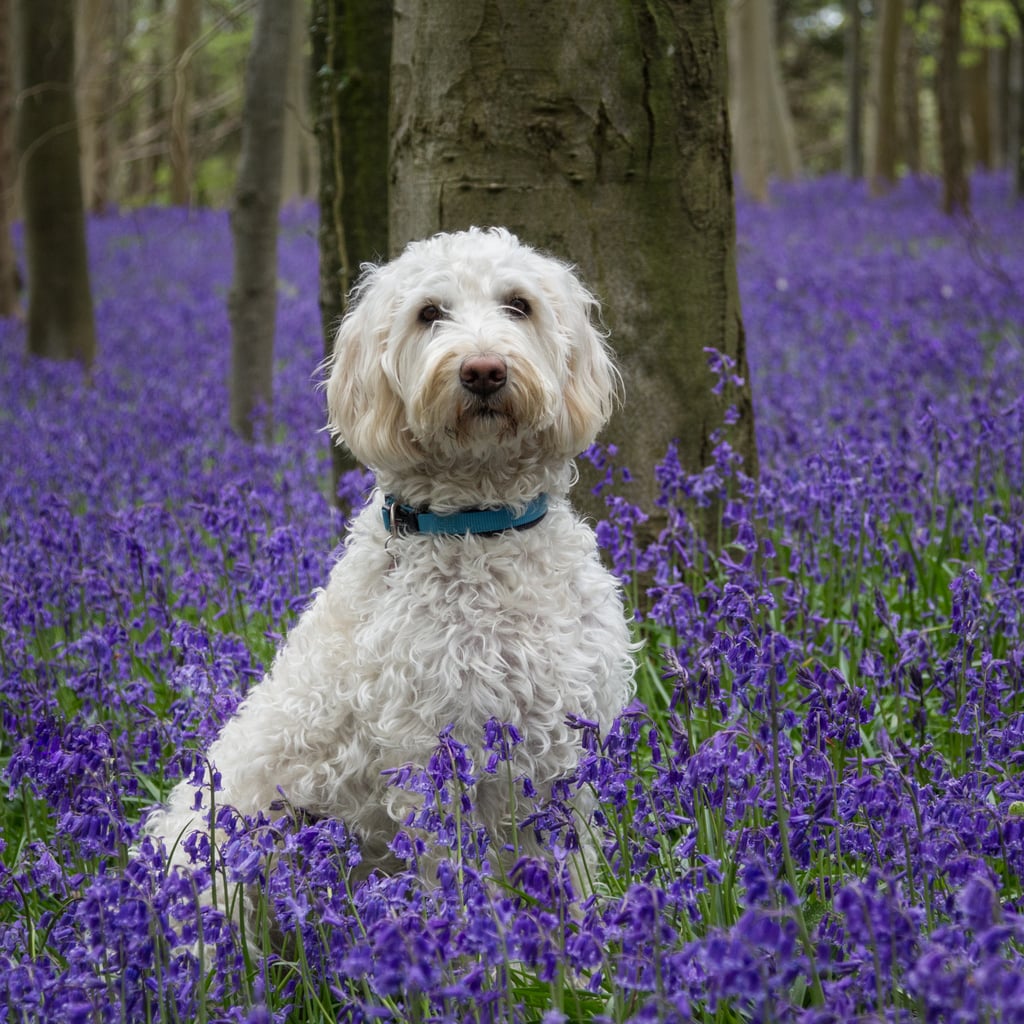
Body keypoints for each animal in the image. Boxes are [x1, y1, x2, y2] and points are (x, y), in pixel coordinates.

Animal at [148, 228, 634, 884]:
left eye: (519, 304)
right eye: (429, 313)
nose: (483, 370)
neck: (479, 527)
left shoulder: (563, 747)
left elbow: (573, 865)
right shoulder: (432, 754)